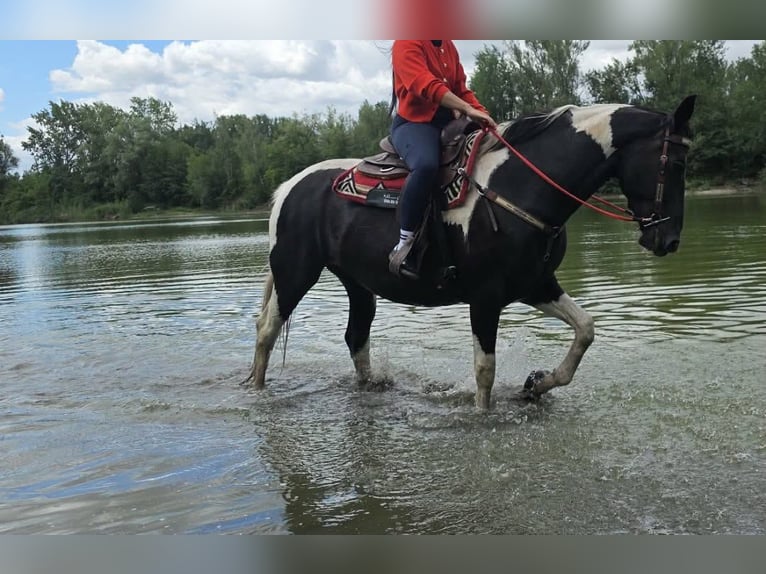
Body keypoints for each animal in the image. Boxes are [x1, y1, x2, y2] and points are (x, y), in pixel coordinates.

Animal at [244, 95, 696, 409]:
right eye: (675, 163)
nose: (669, 240)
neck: (522, 187)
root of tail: (289, 187)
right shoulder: (485, 298)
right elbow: (485, 370)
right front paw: (484, 415)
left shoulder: (536, 284)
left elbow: (585, 329)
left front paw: (537, 384)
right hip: (295, 272)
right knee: (267, 331)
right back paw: (258, 390)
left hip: (358, 284)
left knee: (356, 336)